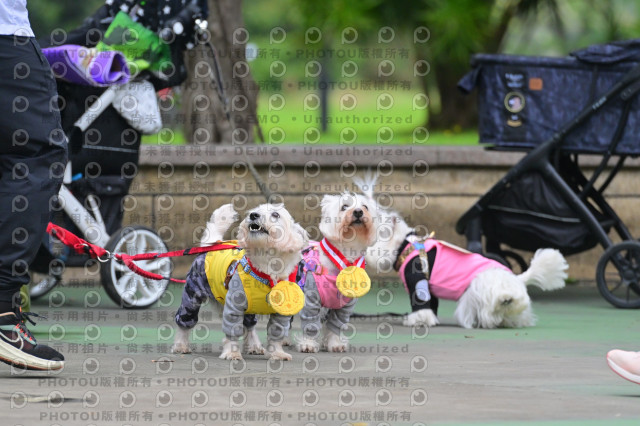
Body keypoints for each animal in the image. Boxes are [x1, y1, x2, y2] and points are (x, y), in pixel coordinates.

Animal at [172, 203, 308, 360]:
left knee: (249, 326)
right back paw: (181, 346)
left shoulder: (282, 313)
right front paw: (232, 353)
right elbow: (232, 330)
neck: (267, 267)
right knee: (185, 321)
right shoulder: (234, 304)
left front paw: (277, 354)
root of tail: (210, 245)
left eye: (276, 214)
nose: (253, 215)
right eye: (255, 210)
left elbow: (276, 333)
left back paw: (254, 346)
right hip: (192, 295)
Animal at [296, 191, 378, 353]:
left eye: (365, 206)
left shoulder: (345, 306)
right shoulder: (311, 299)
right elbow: (310, 323)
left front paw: (335, 344)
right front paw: (308, 344)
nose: (358, 212)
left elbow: (336, 324)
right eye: (344, 206)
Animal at [367, 207, 568, 329]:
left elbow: (421, 303)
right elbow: (432, 304)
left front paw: (417, 320)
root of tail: (516, 278)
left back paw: (500, 305)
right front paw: (431, 319)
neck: (405, 246)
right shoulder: (430, 287)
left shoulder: (416, 280)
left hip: (480, 286)